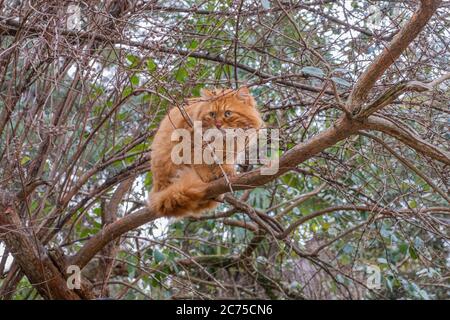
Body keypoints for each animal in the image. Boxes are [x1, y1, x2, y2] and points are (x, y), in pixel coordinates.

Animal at [149, 87, 264, 218]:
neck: (221, 140)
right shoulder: (191, 143)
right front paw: (206, 176)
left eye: (228, 113)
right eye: (212, 114)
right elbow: (199, 163)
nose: (218, 125)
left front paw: (226, 172)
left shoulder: (232, 151)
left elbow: (225, 163)